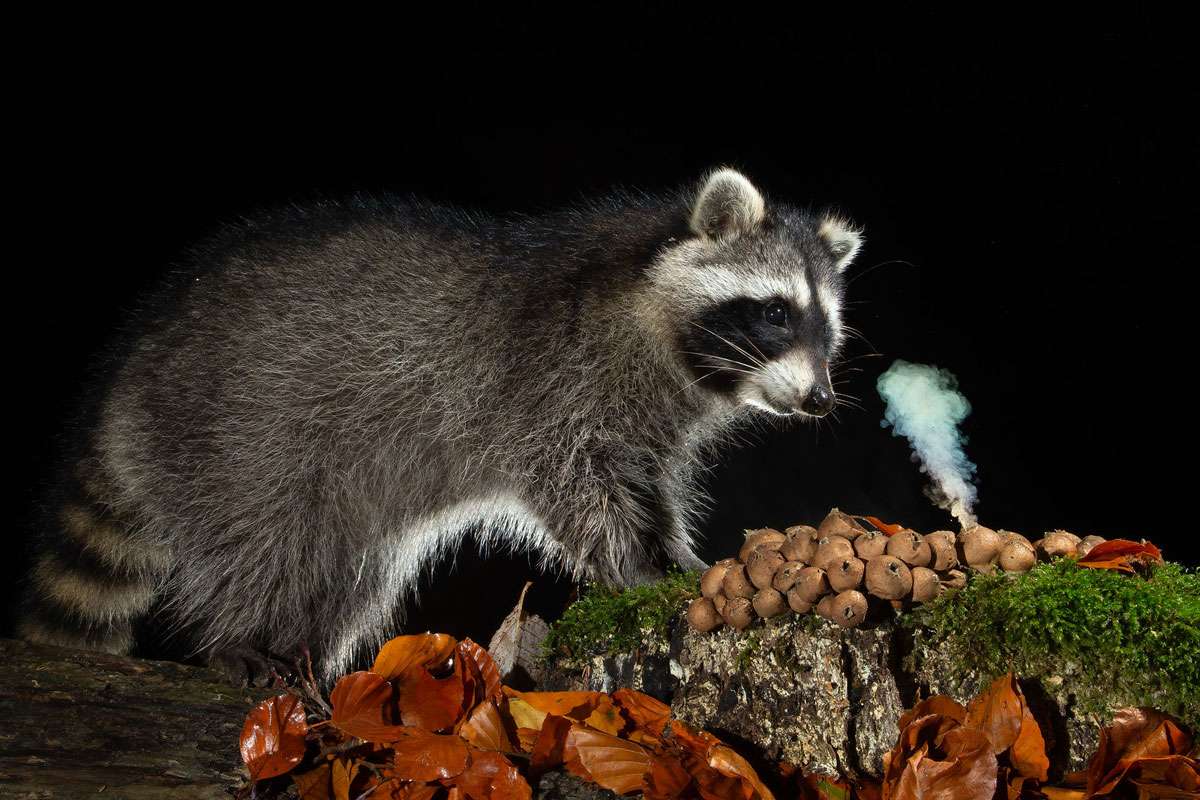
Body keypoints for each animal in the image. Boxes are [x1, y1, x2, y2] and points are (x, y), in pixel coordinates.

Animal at [18, 167, 864, 681]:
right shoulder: (554, 387)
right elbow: (584, 493)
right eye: (774, 313)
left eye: (830, 329)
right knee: (262, 548)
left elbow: (645, 486)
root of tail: (127, 375)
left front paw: (674, 553)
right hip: (236, 437)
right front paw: (647, 567)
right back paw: (242, 642)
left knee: (335, 577)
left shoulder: (649, 424)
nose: (820, 401)